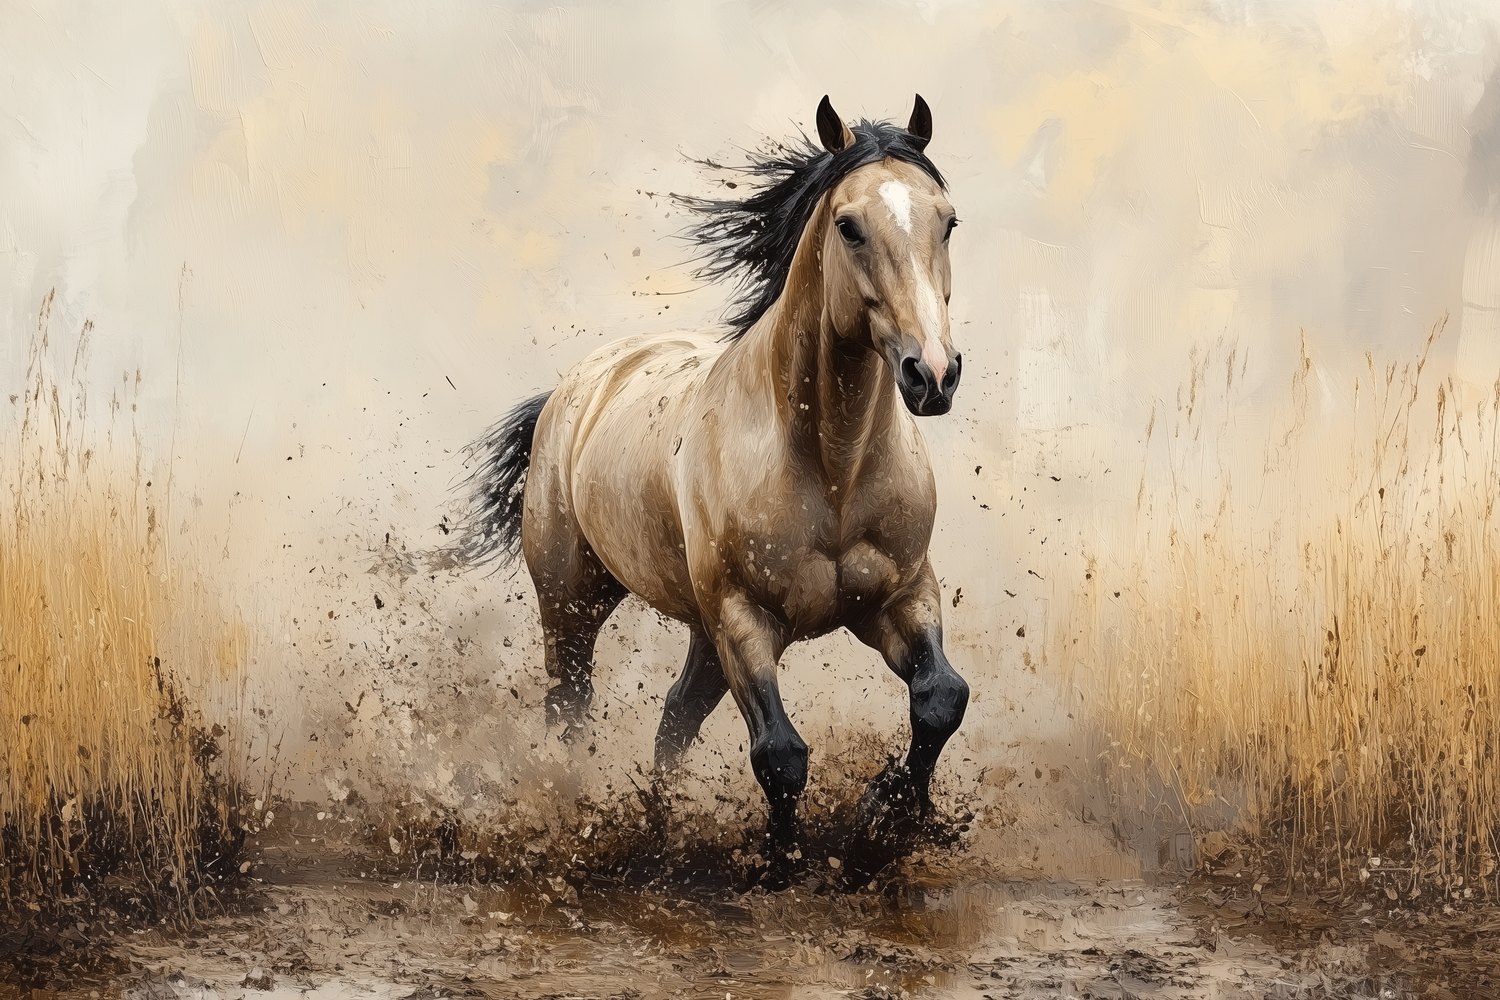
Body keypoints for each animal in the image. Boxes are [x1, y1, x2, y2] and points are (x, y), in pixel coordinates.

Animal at [453, 95, 969, 877]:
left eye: (948, 220)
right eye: (849, 226)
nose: (932, 373)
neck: (832, 468)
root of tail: (575, 389)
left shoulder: (902, 595)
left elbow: (942, 697)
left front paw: (883, 816)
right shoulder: (745, 617)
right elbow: (780, 754)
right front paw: (784, 865)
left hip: (699, 629)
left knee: (672, 719)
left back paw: (658, 829)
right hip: (575, 603)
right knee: (570, 709)